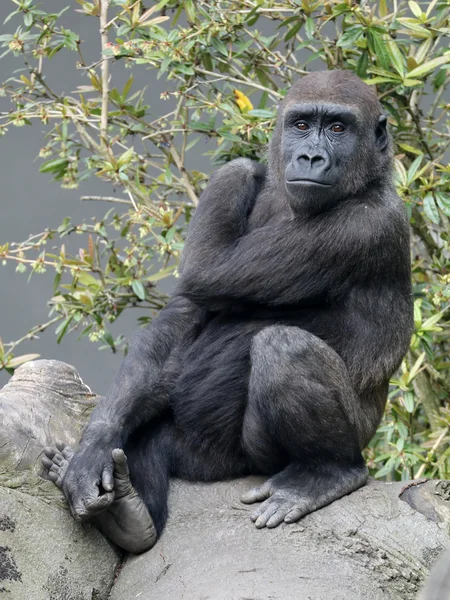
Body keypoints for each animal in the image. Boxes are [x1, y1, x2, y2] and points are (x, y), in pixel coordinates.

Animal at [42, 70, 412, 552]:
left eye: (337, 128)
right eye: (300, 125)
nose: (311, 156)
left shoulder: (365, 226)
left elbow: (208, 271)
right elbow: (187, 309)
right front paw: (96, 444)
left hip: (281, 454)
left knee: (284, 348)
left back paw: (327, 472)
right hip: (197, 456)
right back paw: (128, 514)